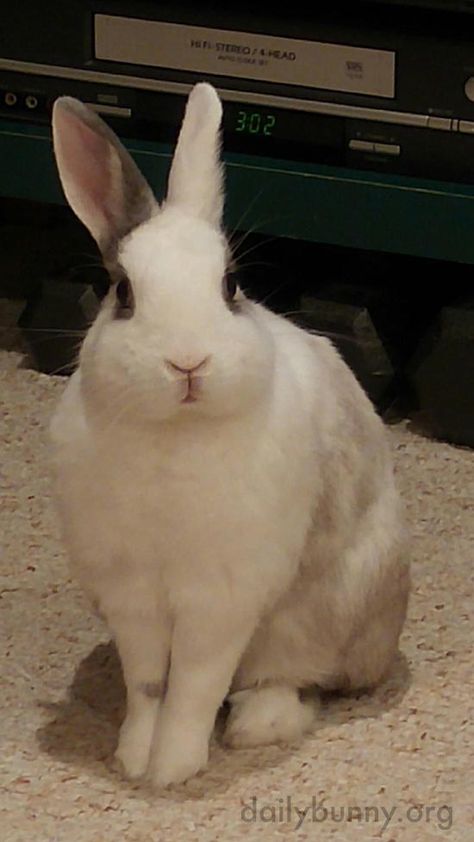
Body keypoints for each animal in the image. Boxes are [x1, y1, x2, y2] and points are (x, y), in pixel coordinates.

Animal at [50, 82, 410, 784]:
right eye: (123, 292)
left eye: (230, 285)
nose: (188, 362)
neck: (176, 433)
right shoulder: (132, 594)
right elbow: (149, 685)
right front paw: (133, 759)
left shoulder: (221, 598)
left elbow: (194, 684)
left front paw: (174, 769)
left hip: (320, 616)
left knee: (295, 680)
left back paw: (254, 726)